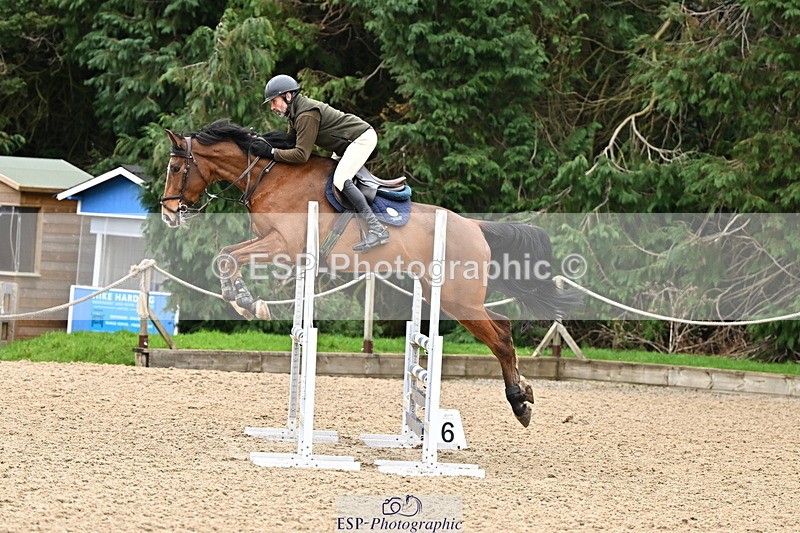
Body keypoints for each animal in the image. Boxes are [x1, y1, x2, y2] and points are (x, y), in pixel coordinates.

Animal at [160, 119, 580, 427]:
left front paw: (246, 302)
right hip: (444, 295)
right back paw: (524, 392)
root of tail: (475, 226)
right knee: (503, 326)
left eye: (177, 167)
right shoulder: (273, 244)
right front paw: (243, 300)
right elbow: (227, 255)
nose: (167, 212)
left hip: (458, 298)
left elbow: (227, 257)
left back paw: (520, 404)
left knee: (500, 340)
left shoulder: (283, 244)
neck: (268, 175)